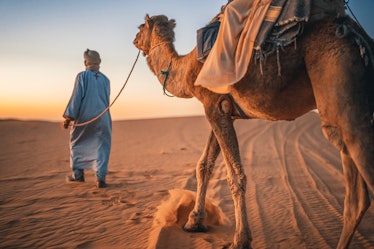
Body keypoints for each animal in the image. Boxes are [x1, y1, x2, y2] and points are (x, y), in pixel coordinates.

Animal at [133, 0, 372, 248]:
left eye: (141, 26)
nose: (134, 39)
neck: (187, 68)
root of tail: (355, 32)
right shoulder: (221, 110)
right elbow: (204, 166)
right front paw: (194, 222)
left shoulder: (213, 106)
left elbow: (235, 176)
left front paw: (240, 239)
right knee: (356, 198)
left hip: (339, 77)